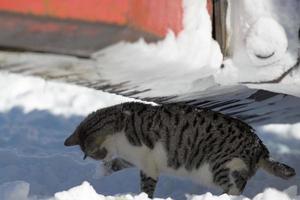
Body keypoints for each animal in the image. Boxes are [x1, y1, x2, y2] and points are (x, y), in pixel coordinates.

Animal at [63, 102, 296, 198]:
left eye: (91, 153)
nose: (96, 159)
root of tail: (259, 146)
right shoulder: (133, 158)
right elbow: (118, 163)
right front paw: (102, 172)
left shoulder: (147, 163)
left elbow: (147, 186)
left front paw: (143, 196)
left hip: (222, 165)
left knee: (235, 189)